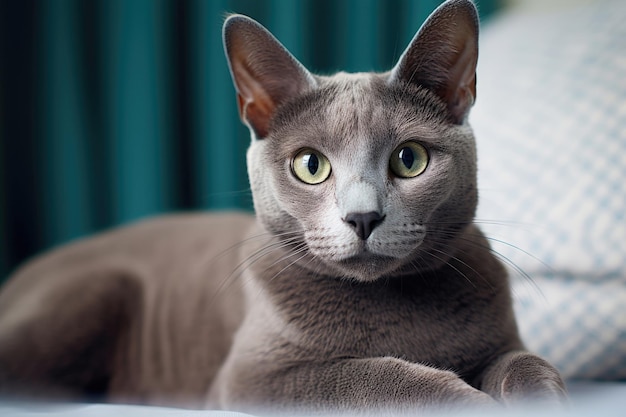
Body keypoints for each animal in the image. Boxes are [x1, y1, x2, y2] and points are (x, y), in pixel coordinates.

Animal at [0, 0, 564, 412]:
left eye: (410, 159)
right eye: (310, 165)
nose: (363, 216)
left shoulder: (501, 342)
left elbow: (529, 365)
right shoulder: (253, 377)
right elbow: (375, 376)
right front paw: (467, 401)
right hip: (91, 292)